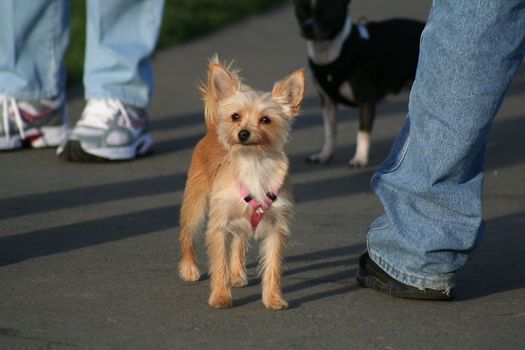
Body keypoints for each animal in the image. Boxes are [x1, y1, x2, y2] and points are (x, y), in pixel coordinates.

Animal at [178, 58, 304, 310]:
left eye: (265, 120)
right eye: (235, 116)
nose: (243, 133)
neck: (253, 164)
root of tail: (213, 126)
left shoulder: (276, 229)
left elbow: (273, 267)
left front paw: (273, 299)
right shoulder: (218, 226)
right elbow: (219, 264)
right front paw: (220, 297)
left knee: (238, 242)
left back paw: (236, 275)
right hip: (195, 205)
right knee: (187, 233)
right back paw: (189, 269)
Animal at [292, 0, 424, 167]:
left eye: (326, 11)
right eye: (300, 11)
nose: (307, 26)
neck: (331, 52)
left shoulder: (366, 102)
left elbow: (362, 132)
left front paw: (360, 158)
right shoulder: (327, 103)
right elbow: (330, 132)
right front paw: (324, 155)